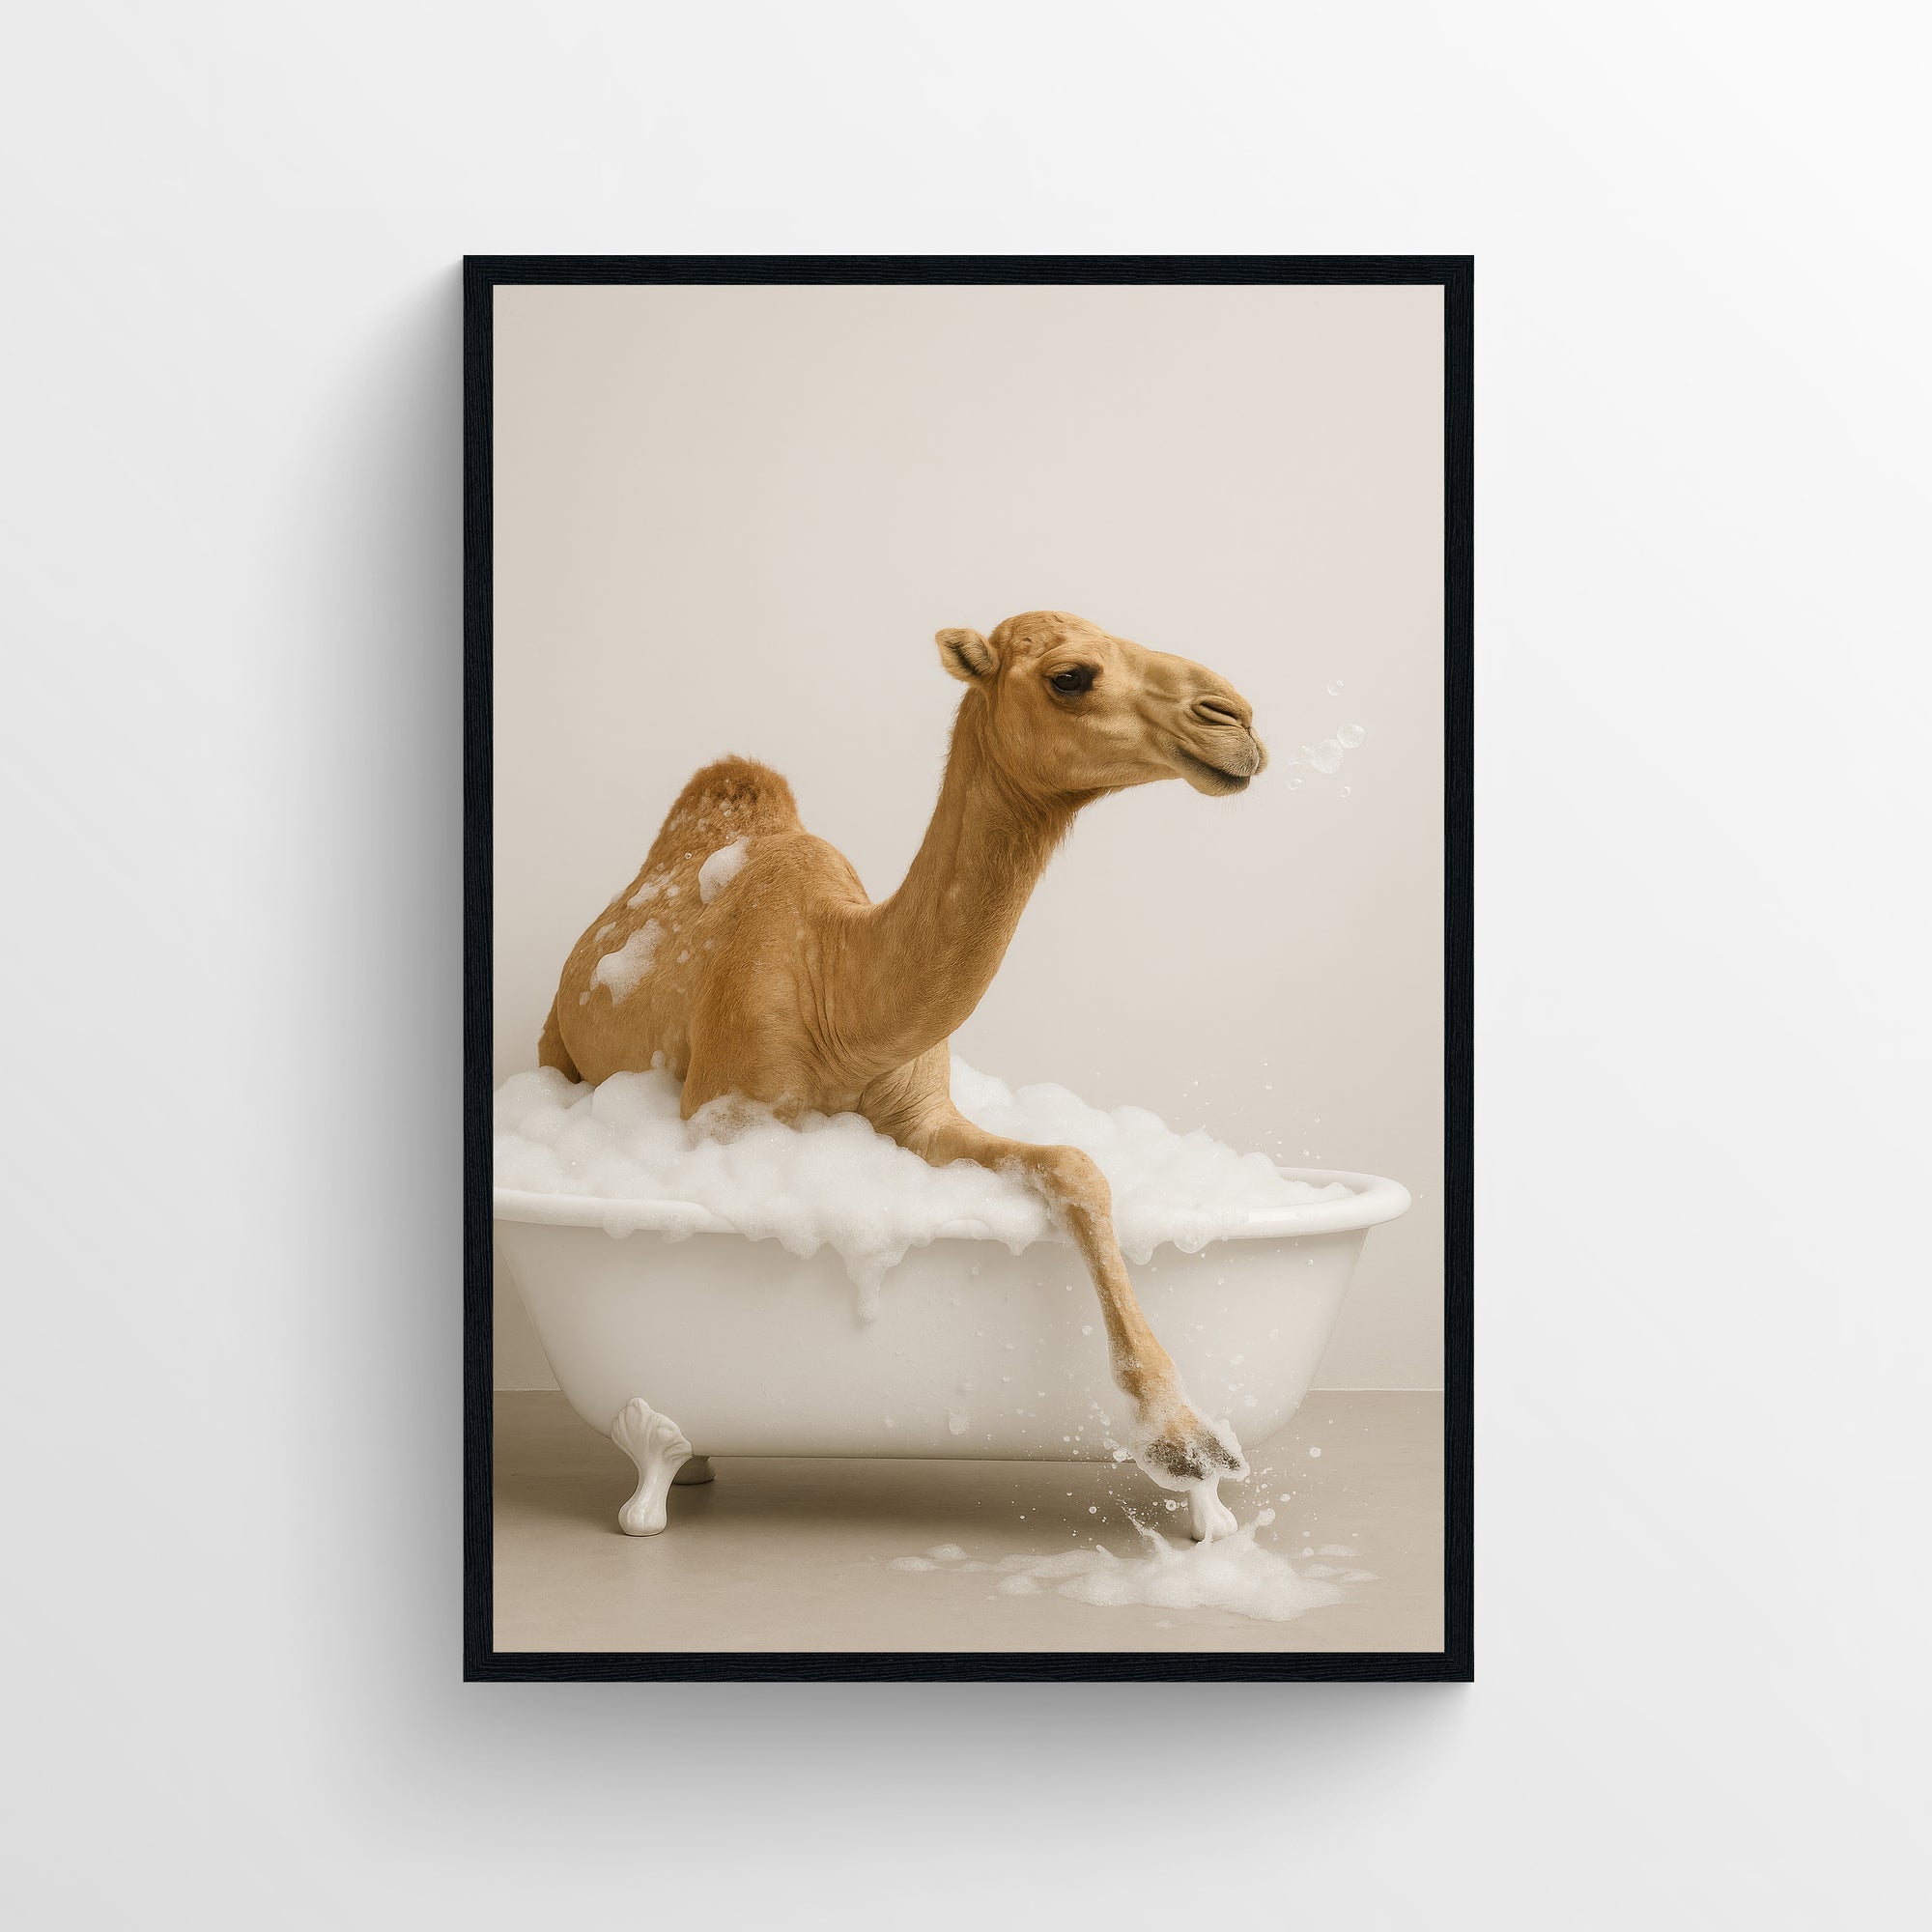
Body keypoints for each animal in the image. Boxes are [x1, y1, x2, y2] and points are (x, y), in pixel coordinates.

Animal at [539, 610, 1268, 1509]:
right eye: (1071, 676)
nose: (1235, 721)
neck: (839, 989)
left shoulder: (920, 1116)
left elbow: (1076, 1165)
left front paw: (1188, 1441)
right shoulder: (721, 1116)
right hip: (555, 1045)